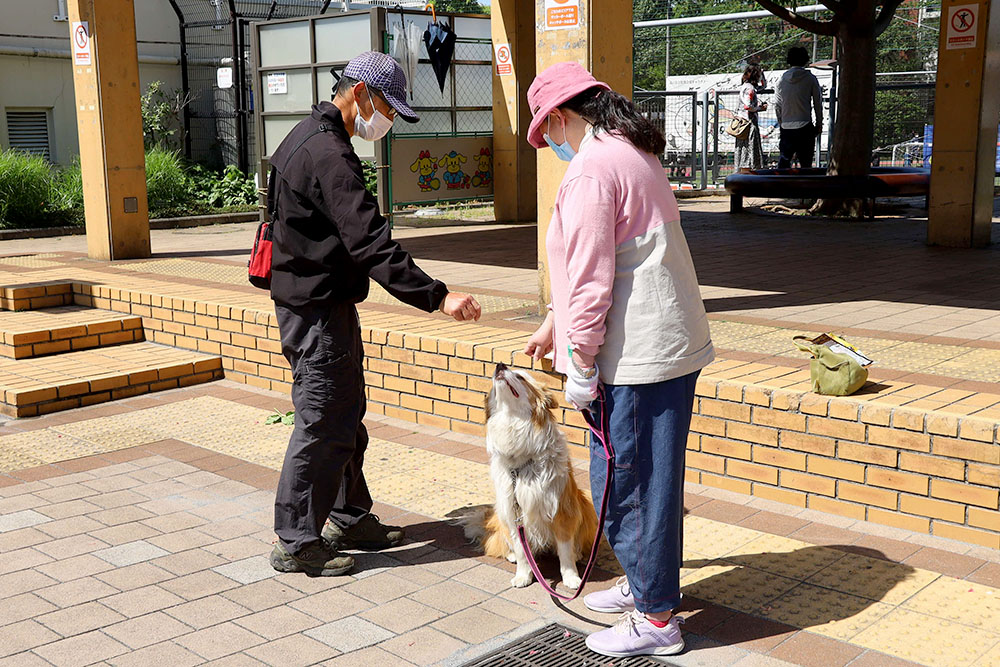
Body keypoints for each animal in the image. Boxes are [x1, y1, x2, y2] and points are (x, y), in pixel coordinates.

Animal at [464, 366, 596, 588]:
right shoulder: (514, 512)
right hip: (501, 514)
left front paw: (571, 577)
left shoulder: (562, 509)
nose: (499, 365)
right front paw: (523, 575)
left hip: (585, 505)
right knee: (497, 543)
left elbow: (565, 551)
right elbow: (521, 550)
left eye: (520, 377)